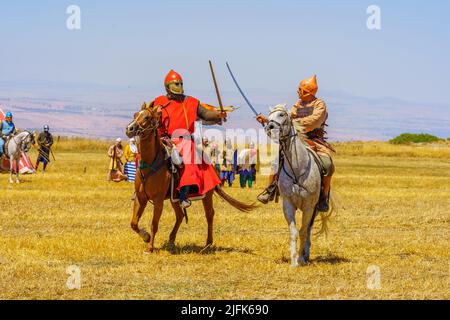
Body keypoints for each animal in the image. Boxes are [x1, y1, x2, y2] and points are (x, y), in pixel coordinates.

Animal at [125, 107, 258, 252]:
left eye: (147, 117)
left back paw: (208, 243)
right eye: (135, 115)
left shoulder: (158, 200)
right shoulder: (140, 198)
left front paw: (150, 247)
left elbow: (154, 224)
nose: (130, 129)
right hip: (175, 197)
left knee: (209, 215)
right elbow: (133, 223)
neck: (151, 163)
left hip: (207, 195)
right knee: (180, 215)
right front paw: (146, 237)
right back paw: (171, 240)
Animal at [268, 105, 330, 268]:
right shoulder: (288, 204)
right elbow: (294, 232)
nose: (269, 127)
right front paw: (294, 260)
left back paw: (306, 254)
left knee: (308, 229)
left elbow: (303, 231)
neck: (297, 168)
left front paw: (301, 259)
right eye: (268, 116)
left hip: (316, 208)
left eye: (282, 114)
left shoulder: (309, 206)